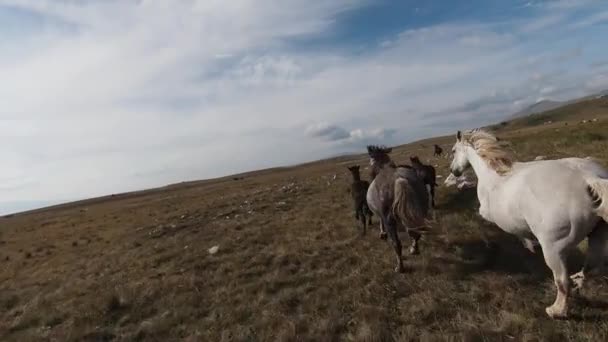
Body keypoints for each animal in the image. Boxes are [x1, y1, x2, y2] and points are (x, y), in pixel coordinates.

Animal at [366, 144, 432, 272]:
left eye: (371, 158)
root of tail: (399, 179)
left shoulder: (382, 215)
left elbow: (381, 222)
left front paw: (382, 234)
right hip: (419, 210)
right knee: (415, 232)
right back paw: (414, 250)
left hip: (390, 220)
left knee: (396, 243)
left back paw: (399, 267)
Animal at [446, 128, 608, 318]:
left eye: (453, 151)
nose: (454, 171)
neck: (493, 176)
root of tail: (589, 178)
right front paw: (529, 244)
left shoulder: (488, 215)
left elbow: (484, 225)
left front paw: (496, 245)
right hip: (597, 235)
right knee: (592, 266)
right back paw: (577, 281)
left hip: (554, 249)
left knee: (562, 281)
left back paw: (556, 310)